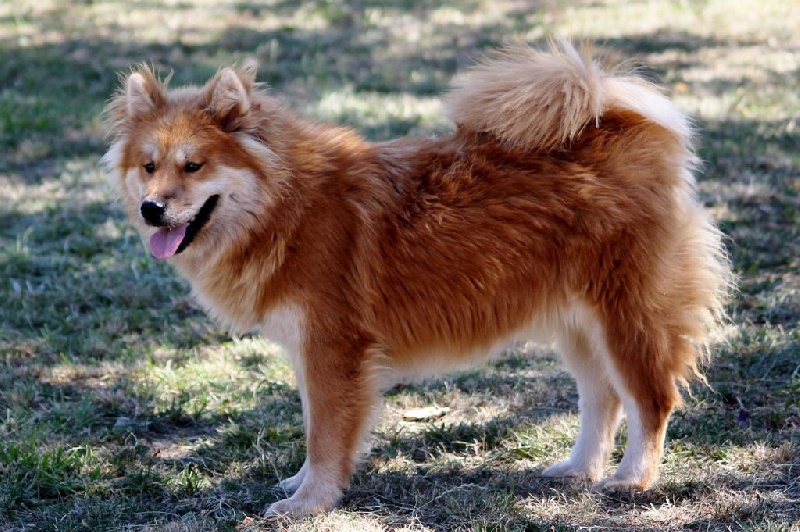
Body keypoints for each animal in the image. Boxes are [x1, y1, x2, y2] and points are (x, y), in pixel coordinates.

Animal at [103, 41, 736, 516]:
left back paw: (632, 479)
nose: (152, 210)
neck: (285, 205)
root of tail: (617, 124)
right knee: (601, 398)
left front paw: (310, 502)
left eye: (194, 166)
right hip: (578, 323)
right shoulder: (312, 352)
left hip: (625, 317)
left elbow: (325, 434)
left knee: (650, 399)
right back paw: (578, 469)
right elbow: (313, 427)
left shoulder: (333, 349)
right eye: (149, 167)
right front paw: (301, 485)